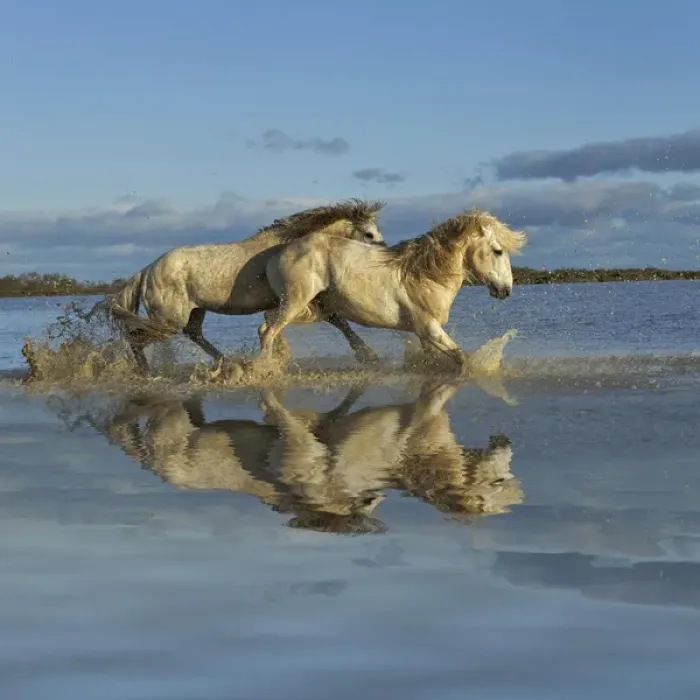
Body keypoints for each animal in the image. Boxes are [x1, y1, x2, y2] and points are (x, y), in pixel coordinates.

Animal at [88, 199, 386, 373]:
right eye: (369, 234)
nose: (384, 257)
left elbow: (337, 321)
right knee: (135, 337)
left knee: (194, 334)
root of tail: (147, 269)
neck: (291, 246)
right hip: (168, 321)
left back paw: (225, 361)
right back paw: (144, 371)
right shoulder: (296, 301)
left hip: (194, 312)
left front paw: (369, 356)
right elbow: (332, 320)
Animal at [258, 209, 527, 370]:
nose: (506, 290)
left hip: (310, 309)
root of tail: (277, 253)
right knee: (268, 331)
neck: (425, 275)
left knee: (267, 325)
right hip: (295, 303)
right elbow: (463, 358)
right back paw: (264, 370)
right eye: (498, 251)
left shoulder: (425, 335)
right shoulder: (429, 328)